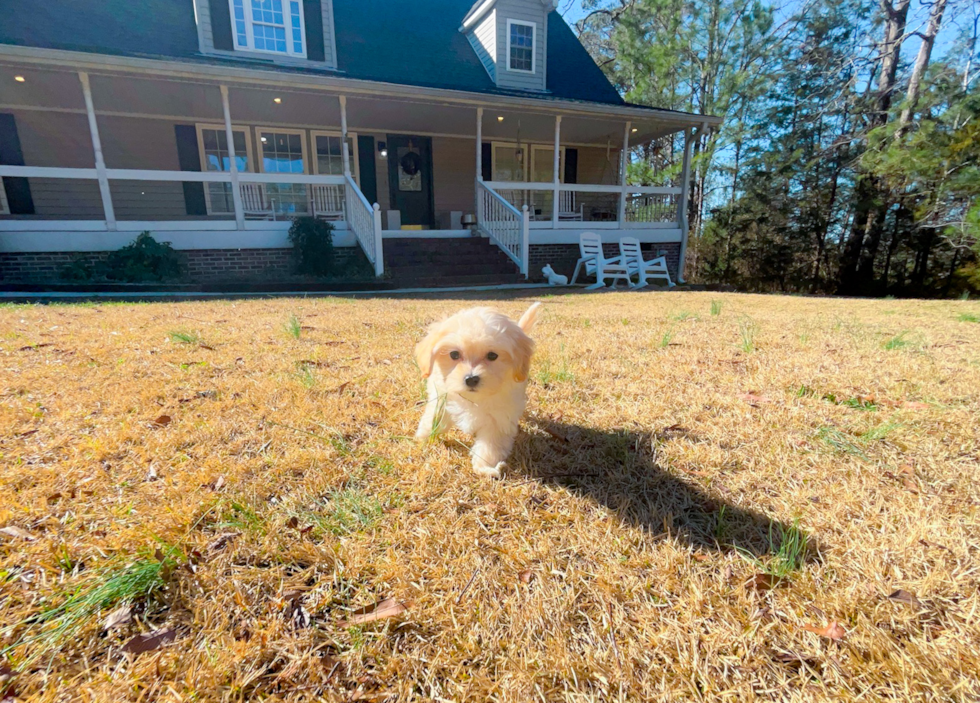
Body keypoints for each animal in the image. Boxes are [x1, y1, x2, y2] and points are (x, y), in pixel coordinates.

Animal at [410, 302, 540, 478]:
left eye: (492, 355)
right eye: (454, 354)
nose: (471, 379)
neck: (473, 398)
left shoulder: (499, 419)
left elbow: (490, 445)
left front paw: (485, 467)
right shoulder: (441, 396)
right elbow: (434, 417)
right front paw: (423, 437)